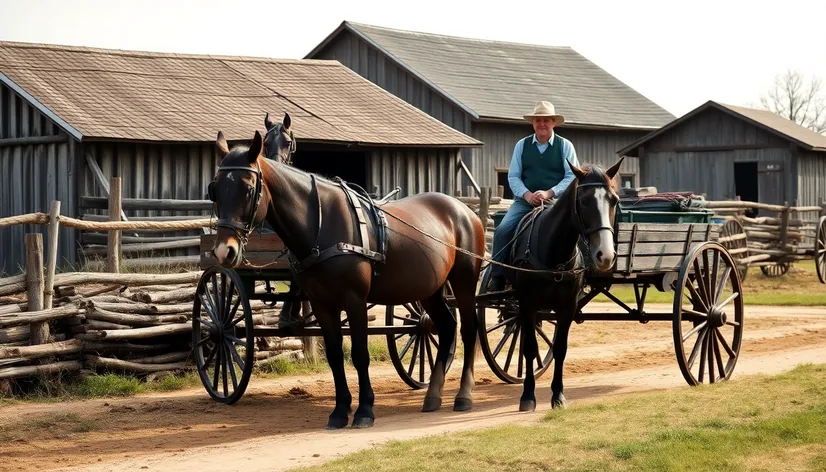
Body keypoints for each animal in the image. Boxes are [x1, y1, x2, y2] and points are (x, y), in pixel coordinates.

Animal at [209, 114, 486, 428]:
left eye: (247, 188)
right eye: (215, 190)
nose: (224, 251)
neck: (321, 223)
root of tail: (464, 210)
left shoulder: (355, 300)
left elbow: (359, 354)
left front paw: (365, 409)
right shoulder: (322, 303)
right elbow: (334, 355)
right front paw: (340, 410)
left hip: (464, 281)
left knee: (468, 329)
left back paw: (463, 396)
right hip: (430, 289)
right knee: (446, 326)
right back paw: (433, 396)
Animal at [502, 157, 624, 412]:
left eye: (614, 200)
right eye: (585, 201)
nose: (606, 255)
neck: (553, 255)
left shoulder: (567, 307)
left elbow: (560, 349)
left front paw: (558, 395)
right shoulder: (527, 306)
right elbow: (530, 348)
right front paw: (527, 396)